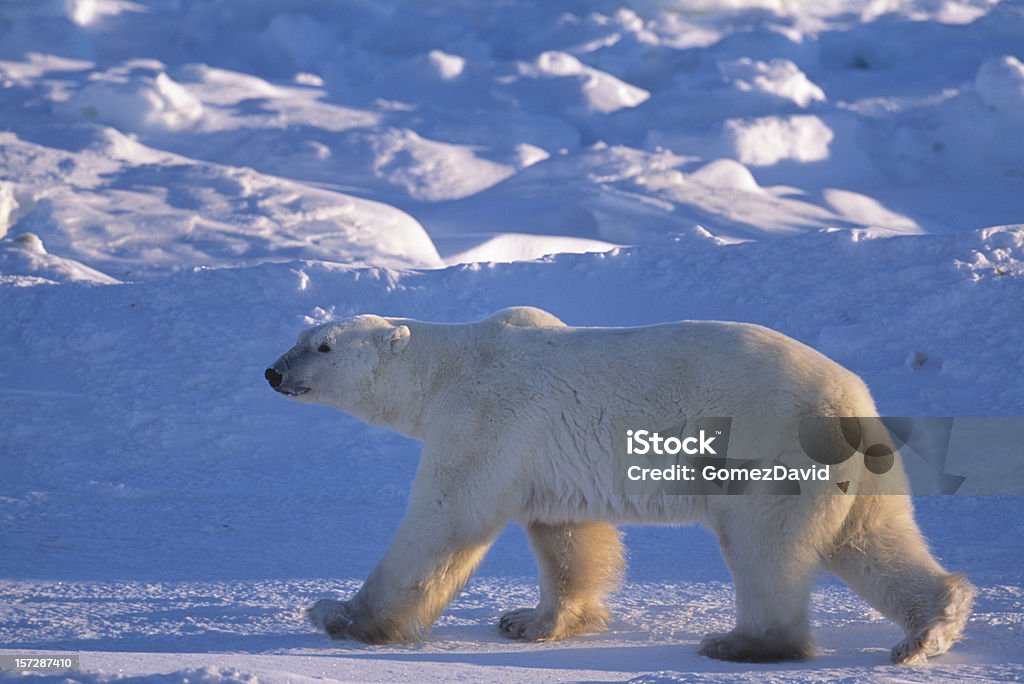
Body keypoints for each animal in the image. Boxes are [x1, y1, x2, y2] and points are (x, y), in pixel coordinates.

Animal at [266, 309, 974, 663]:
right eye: (300, 335)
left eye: (323, 346)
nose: (272, 371)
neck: (451, 366)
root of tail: (850, 402)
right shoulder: (541, 455)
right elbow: (564, 535)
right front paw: (532, 621)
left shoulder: (487, 417)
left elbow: (444, 519)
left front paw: (338, 615)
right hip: (857, 473)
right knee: (873, 539)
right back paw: (928, 628)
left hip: (769, 446)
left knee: (764, 546)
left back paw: (742, 643)